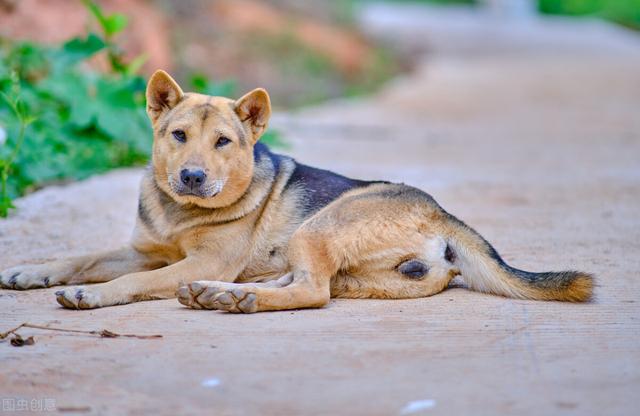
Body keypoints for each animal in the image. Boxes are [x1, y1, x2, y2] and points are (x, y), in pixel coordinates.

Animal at [0, 70, 596, 312]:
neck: (180, 211)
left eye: (223, 142)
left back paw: (233, 298)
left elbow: (127, 282)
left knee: (313, 292)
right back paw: (223, 294)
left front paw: (92, 295)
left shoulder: (193, 260)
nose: (191, 177)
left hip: (321, 223)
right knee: (310, 283)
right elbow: (81, 256)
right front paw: (31, 271)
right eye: (178, 136)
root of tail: (443, 214)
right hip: (340, 260)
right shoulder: (146, 250)